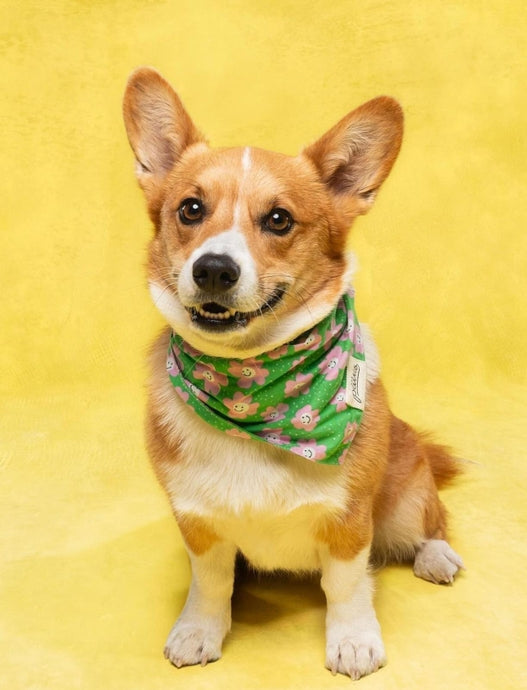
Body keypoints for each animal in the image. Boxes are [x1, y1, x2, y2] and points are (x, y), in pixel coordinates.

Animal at [121, 67, 464, 680]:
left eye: (278, 219)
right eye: (190, 209)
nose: (213, 269)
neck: (255, 388)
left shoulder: (350, 520)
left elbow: (348, 586)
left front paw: (353, 642)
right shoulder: (198, 524)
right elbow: (209, 584)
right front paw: (198, 631)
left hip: (404, 500)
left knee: (430, 522)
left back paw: (437, 556)